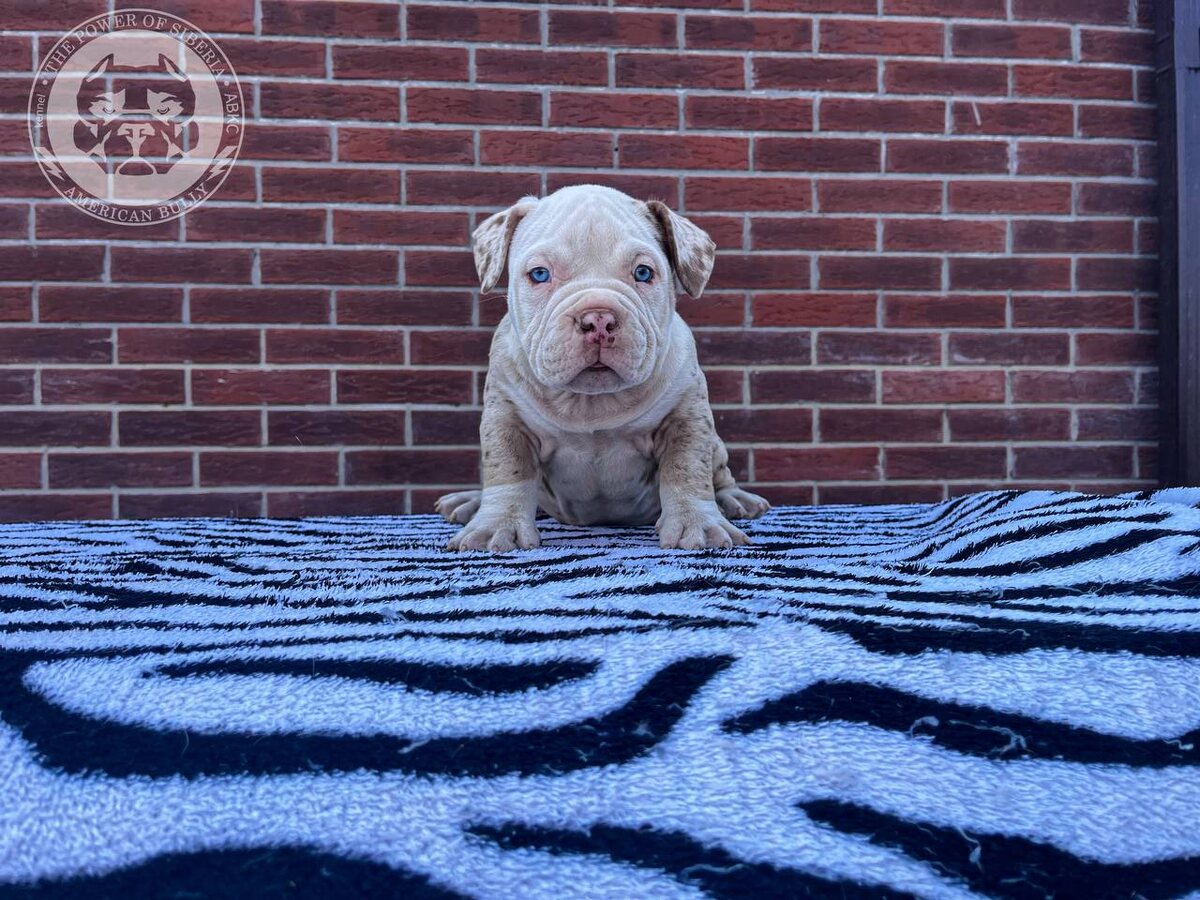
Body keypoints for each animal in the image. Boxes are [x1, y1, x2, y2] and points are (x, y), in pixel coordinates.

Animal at [436, 184, 770, 551]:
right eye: (539, 274)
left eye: (643, 273)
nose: (598, 319)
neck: (590, 402)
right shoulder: (506, 419)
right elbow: (508, 471)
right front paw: (495, 526)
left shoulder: (686, 418)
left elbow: (687, 470)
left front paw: (698, 525)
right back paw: (470, 501)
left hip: (716, 445)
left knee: (719, 472)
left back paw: (735, 499)